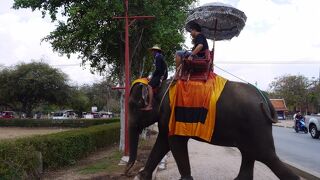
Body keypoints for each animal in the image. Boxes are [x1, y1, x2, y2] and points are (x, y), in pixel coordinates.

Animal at [126, 79, 302, 180]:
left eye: (133, 107)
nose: (127, 171)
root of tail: (266, 100)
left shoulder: (172, 113)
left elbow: (174, 142)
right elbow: (163, 142)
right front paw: (141, 176)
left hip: (256, 124)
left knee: (265, 155)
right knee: (250, 153)